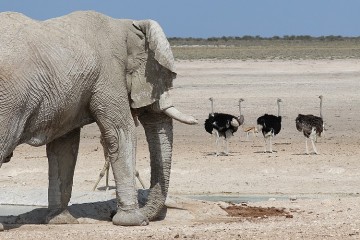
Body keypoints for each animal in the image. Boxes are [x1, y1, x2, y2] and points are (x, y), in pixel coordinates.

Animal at [0, 10, 197, 226]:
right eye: (161, 76)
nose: (110, 212)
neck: (125, 25)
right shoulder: (108, 76)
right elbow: (121, 132)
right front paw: (133, 221)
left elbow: (64, 147)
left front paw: (61, 220)